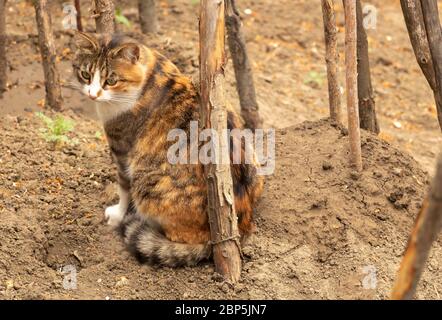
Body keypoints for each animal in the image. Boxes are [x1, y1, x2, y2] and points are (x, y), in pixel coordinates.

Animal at [71, 33, 262, 268]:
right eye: (85, 74)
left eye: (111, 80)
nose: (92, 94)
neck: (150, 73)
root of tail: (239, 227)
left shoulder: (122, 149)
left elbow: (123, 186)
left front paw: (117, 213)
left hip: (148, 184)